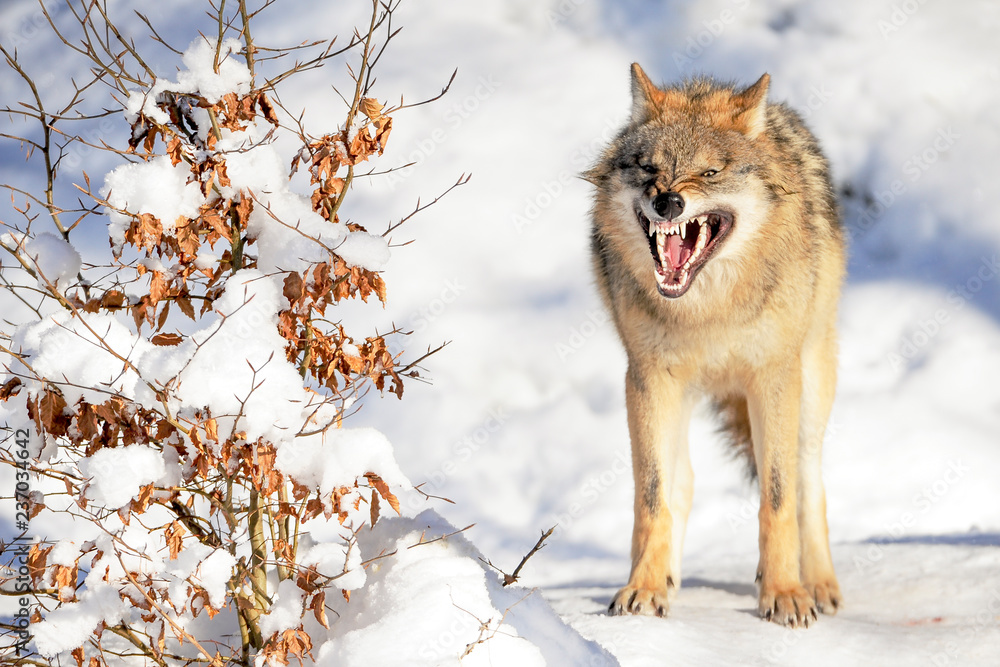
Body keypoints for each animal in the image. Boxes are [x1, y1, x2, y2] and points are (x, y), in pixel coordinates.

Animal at [586, 64, 845, 627]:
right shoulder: (646, 379)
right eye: (649, 168)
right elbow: (653, 498)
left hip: (811, 386)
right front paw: (644, 589)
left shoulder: (773, 377)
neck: (708, 315)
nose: (668, 201)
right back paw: (665, 579)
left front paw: (784, 594)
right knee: (681, 484)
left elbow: (778, 497)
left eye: (709, 172)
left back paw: (819, 585)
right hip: (676, 399)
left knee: (808, 481)